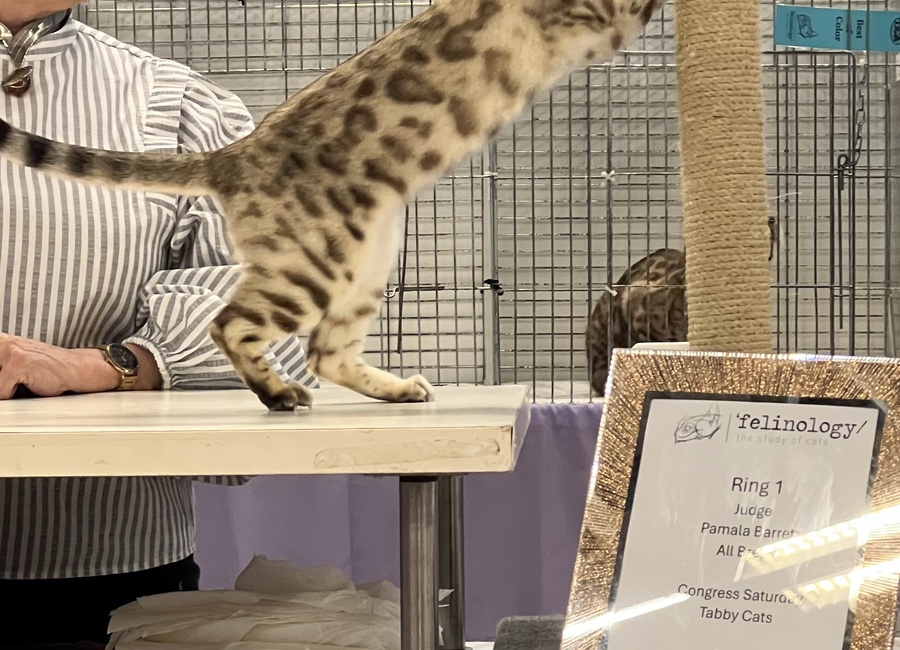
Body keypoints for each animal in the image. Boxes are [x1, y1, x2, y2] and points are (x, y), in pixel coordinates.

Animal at [0, 0, 665, 411]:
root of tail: (231, 154)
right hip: (309, 268)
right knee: (232, 323)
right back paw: (279, 396)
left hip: (366, 264)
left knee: (325, 351)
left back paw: (399, 391)